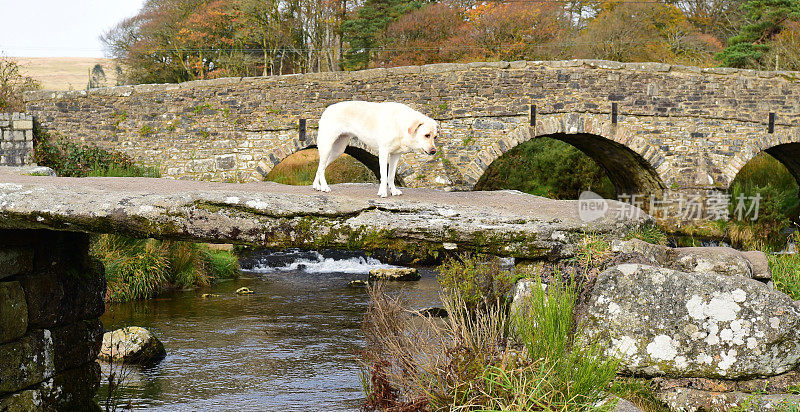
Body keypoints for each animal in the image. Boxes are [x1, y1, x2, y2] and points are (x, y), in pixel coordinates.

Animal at [310, 100, 438, 196]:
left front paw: (393, 191)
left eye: (435, 137)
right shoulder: (383, 152)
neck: (400, 125)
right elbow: (384, 175)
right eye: (427, 135)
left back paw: (316, 186)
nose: (434, 151)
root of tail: (327, 109)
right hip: (327, 146)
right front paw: (383, 192)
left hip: (338, 150)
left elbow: (391, 175)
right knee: (321, 168)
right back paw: (324, 187)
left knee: (320, 167)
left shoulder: (395, 155)